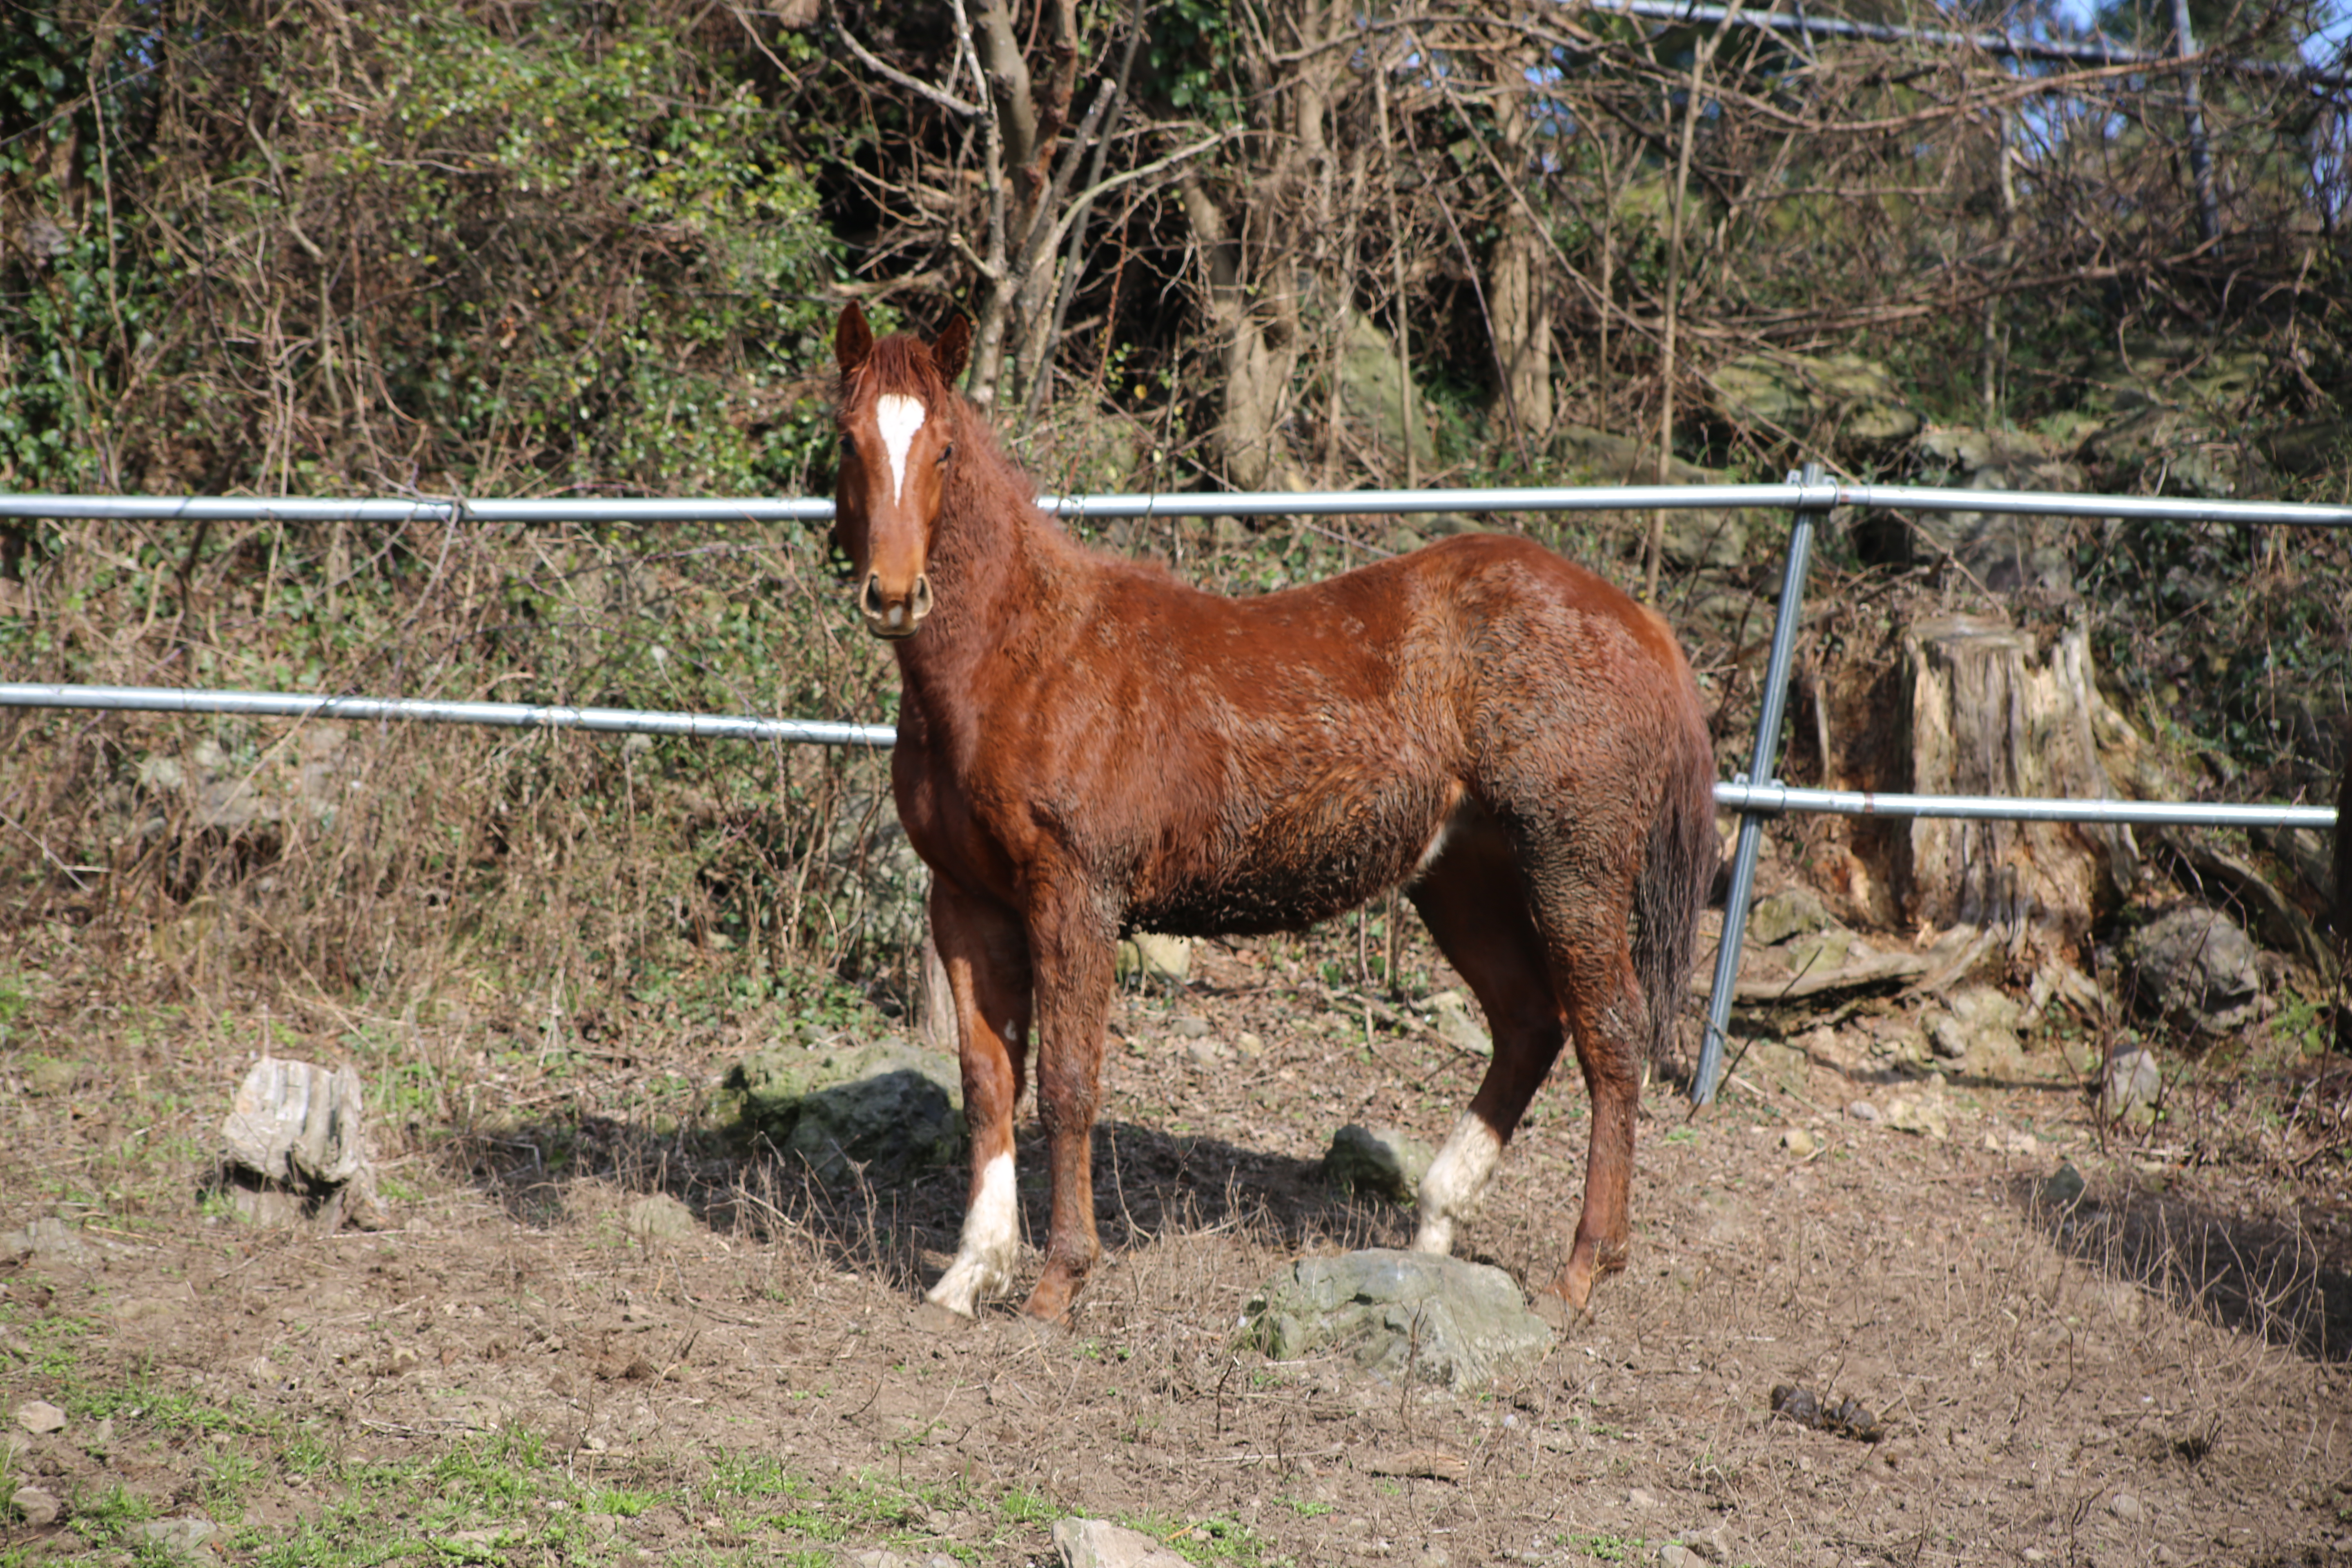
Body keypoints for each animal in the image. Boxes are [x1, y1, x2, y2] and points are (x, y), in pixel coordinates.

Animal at [837, 305, 1722, 1326]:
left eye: (943, 449)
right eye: (848, 439)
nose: (895, 594)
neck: (1024, 656)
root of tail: (1643, 625)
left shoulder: (1076, 897)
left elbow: (1066, 1082)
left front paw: (1060, 1280)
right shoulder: (966, 901)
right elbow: (987, 1083)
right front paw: (969, 1273)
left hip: (1572, 868)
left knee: (1611, 1037)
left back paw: (1579, 1272)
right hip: (1462, 878)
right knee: (1530, 1021)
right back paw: (1434, 1228)